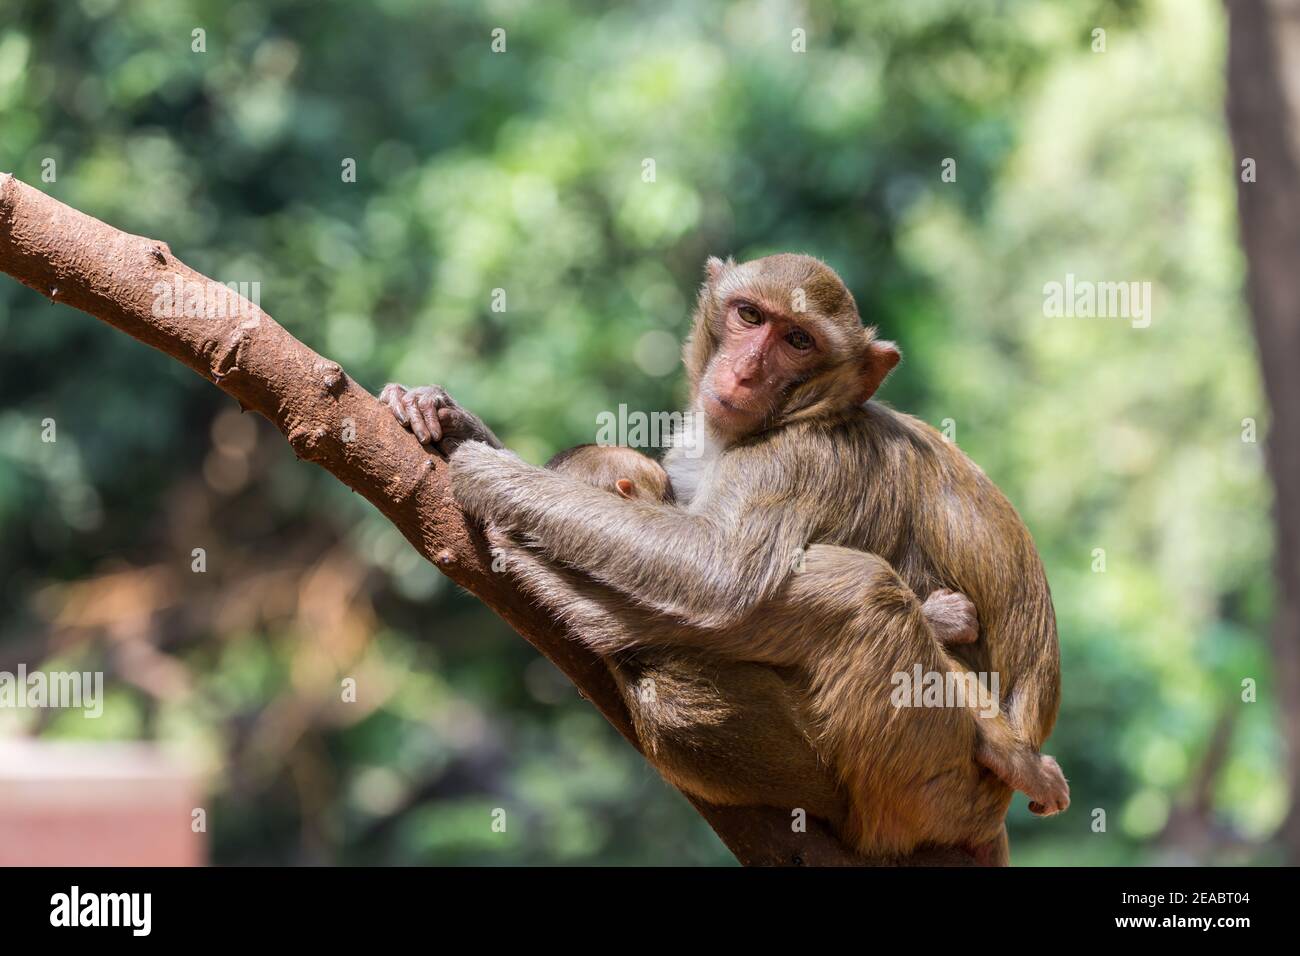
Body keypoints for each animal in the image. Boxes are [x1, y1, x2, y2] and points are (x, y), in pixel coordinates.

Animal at [379, 252, 1068, 861]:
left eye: (798, 340)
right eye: (749, 316)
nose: (745, 371)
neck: (800, 413)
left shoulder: (795, 458)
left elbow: (719, 574)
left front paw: (490, 476)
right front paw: (445, 417)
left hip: (930, 788)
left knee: (858, 592)